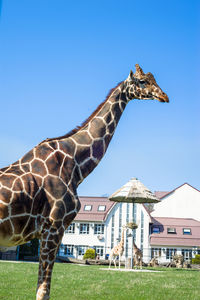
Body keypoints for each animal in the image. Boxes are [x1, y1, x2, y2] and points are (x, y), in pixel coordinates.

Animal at [0, 64, 169, 298]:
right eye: (142, 81)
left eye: (154, 79)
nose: (164, 96)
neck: (75, 165)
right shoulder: (54, 227)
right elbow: (43, 291)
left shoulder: (50, 231)